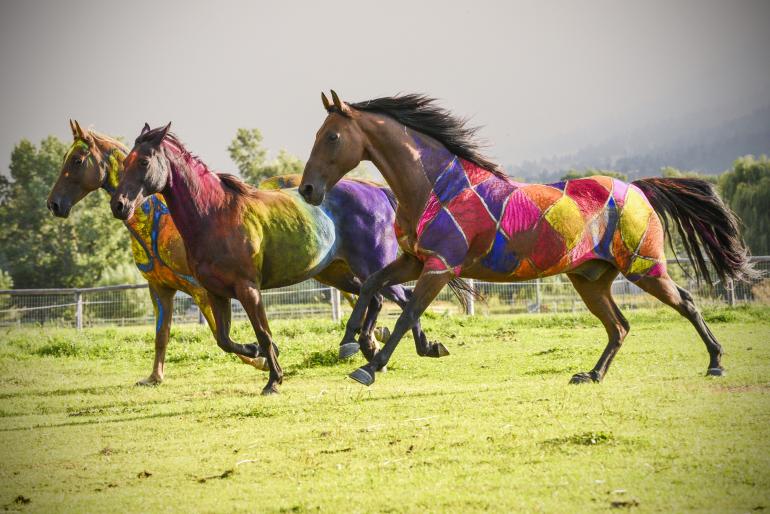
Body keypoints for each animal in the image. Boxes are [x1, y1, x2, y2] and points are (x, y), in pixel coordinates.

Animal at [48, 120, 444, 386]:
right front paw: (257, 357)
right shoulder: (210, 291)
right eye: (127, 160)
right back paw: (370, 348)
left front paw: (272, 377)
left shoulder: (244, 289)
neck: (213, 215)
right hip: (337, 271)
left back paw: (405, 348)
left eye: (77, 161)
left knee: (400, 297)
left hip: (372, 264)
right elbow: (219, 339)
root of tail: (376, 190)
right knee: (377, 297)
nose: (120, 205)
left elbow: (262, 333)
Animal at [296, 91, 752, 384]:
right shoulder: (413, 260)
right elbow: (374, 285)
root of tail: (637, 190)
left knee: (686, 303)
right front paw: (352, 341)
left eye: (331, 136)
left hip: (644, 268)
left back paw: (715, 362)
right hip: (591, 280)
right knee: (619, 326)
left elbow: (407, 312)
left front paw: (370, 366)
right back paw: (592, 374)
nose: (308, 190)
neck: (435, 187)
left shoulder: (440, 267)